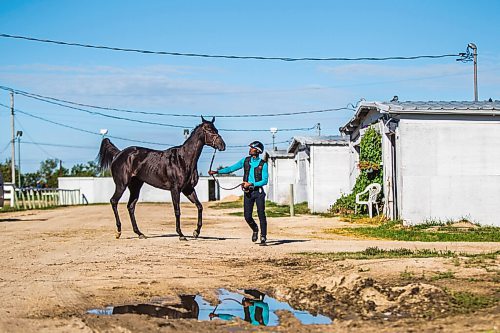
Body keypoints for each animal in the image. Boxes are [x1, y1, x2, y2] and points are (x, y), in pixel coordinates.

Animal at [97, 116, 225, 239]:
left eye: (216, 130)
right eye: (209, 130)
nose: (222, 145)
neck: (183, 159)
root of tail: (118, 154)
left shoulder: (188, 189)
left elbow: (199, 206)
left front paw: (196, 232)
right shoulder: (175, 190)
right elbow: (177, 211)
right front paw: (181, 234)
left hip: (135, 186)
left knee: (131, 206)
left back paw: (139, 233)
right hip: (121, 184)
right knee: (114, 201)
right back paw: (118, 232)